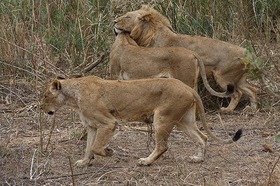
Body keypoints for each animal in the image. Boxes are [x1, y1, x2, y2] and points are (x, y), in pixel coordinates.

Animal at [40, 76, 242, 166]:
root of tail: (189, 88)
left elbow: (96, 147)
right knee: (203, 138)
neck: (73, 96)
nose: (42, 109)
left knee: (163, 146)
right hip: (183, 121)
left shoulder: (108, 122)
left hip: (163, 117)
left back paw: (146, 161)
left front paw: (109, 152)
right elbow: (89, 146)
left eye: (45, 96)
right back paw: (198, 158)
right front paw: (83, 162)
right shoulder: (91, 126)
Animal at [114, 5, 258, 112]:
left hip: (223, 77)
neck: (151, 34)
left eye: (127, 16)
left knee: (237, 93)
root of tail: (246, 52)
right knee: (252, 89)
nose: (114, 21)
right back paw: (252, 108)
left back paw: (227, 109)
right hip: (238, 79)